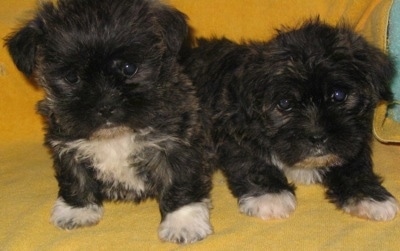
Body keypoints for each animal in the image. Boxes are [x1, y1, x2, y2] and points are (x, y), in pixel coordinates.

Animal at [5, 0, 212, 243]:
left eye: (129, 68)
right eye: (72, 77)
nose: (105, 106)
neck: (116, 135)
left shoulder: (175, 140)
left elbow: (179, 178)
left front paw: (183, 222)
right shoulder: (66, 143)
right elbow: (74, 175)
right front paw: (76, 209)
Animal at [183, 20, 398, 223]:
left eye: (338, 95)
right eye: (285, 103)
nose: (318, 138)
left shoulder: (354, 137)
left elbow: (354, 164)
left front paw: (369, 196)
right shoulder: (233, 130)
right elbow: (249, 160)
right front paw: (270, 196)